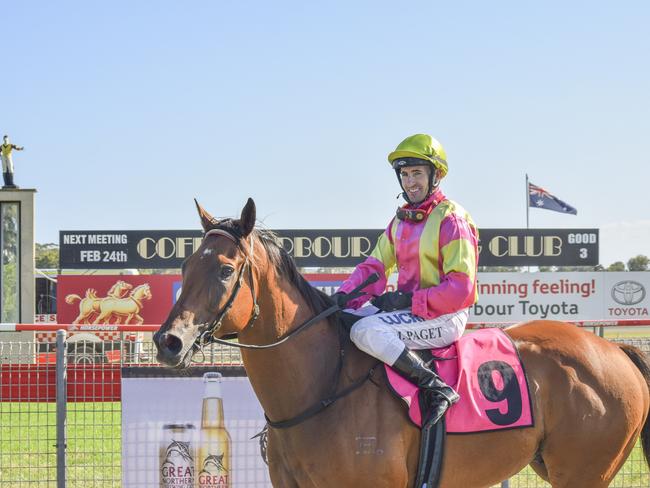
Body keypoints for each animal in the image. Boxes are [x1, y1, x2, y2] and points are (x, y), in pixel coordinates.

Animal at [153, 199, 648, 488]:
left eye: (224, 270)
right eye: (184, 267)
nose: (167, 342)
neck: (321, 389)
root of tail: (615, 350)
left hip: (584, 472)